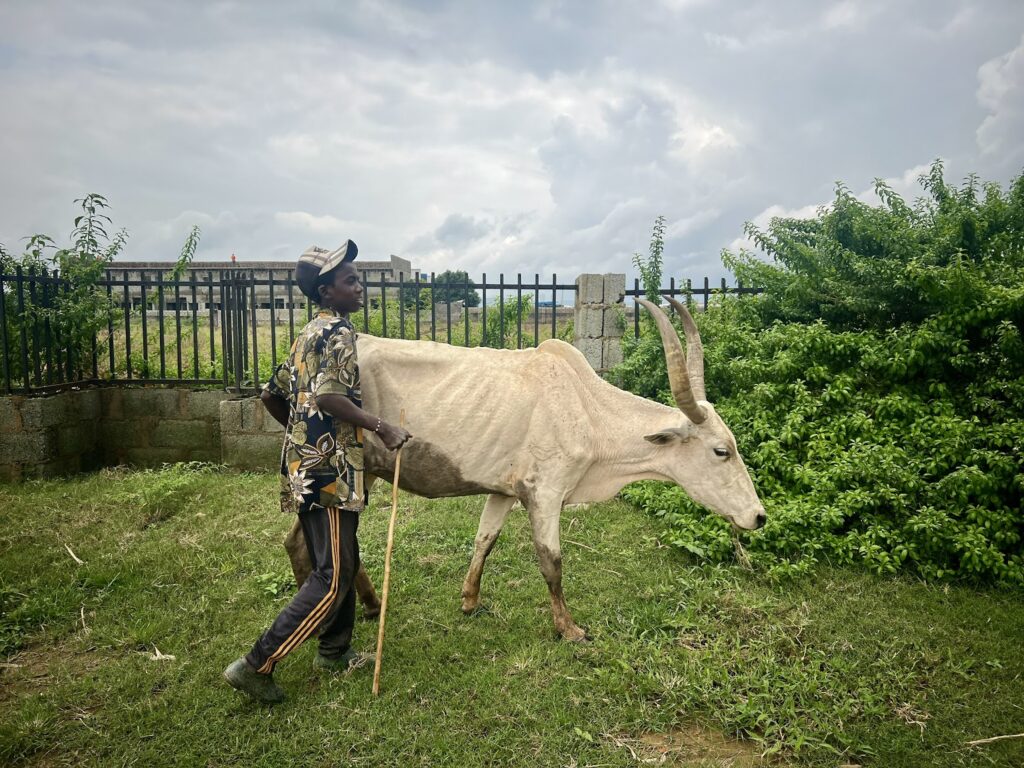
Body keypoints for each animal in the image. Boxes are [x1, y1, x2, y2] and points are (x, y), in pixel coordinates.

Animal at [284, 301, 765, 643]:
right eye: (721, 451)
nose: (758, 517)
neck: (586, 407)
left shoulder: (506, 491)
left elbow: (484, 540)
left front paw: (470, 601)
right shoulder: (546, 493)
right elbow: (552, 563)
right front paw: (569, 629)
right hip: (351, 476)